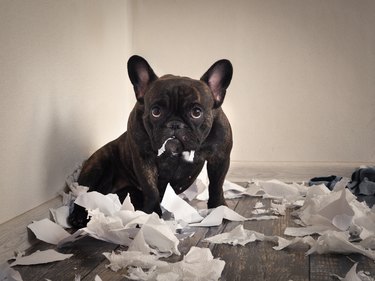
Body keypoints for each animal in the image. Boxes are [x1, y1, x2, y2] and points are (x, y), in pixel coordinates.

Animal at [67, 55, 232, 228]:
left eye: (196, 112)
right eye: (156, 111)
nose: (175, 124)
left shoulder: (220, 158)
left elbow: (216, 184)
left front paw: (219, 208)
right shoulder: (144, 159)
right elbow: (151, 189)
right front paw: (151, 215)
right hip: (96, 166)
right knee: (83, 194)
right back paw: (78, 216)